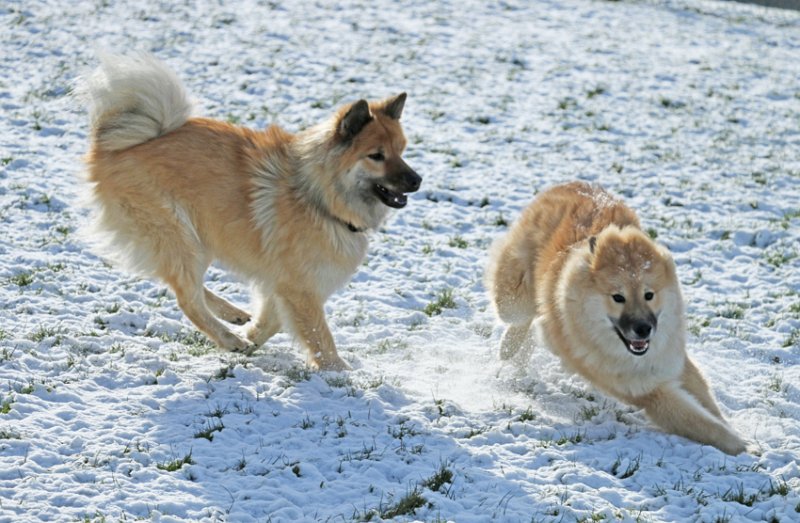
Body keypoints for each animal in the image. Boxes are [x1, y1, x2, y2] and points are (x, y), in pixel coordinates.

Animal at [78, 53, 422, 370]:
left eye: (401, 151)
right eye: (376, 156)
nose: (417, 180)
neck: (316, 196)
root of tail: (115, 143)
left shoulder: (283, 284)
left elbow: (273, 321)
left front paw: (253, 337)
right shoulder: (301, 288)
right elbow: (320, 337)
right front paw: (341, 374)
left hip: (197, 240)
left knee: (187, 287)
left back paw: (233, 317)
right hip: (177, 234)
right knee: (187, 298)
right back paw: (229, 338)